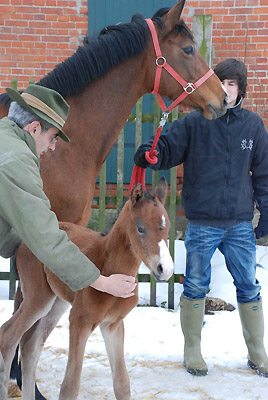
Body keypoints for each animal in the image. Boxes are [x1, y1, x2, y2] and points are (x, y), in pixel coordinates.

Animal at [0, 179, 174, 400]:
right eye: (141, 228)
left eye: (167, 228)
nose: (165, 269)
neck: (111, 268)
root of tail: (24, 242)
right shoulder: (80, 320)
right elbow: (70, 386)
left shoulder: (113, 325)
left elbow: (122, 384)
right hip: (38, 298)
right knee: (8, 336)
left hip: (57, 303)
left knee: (29, 345)